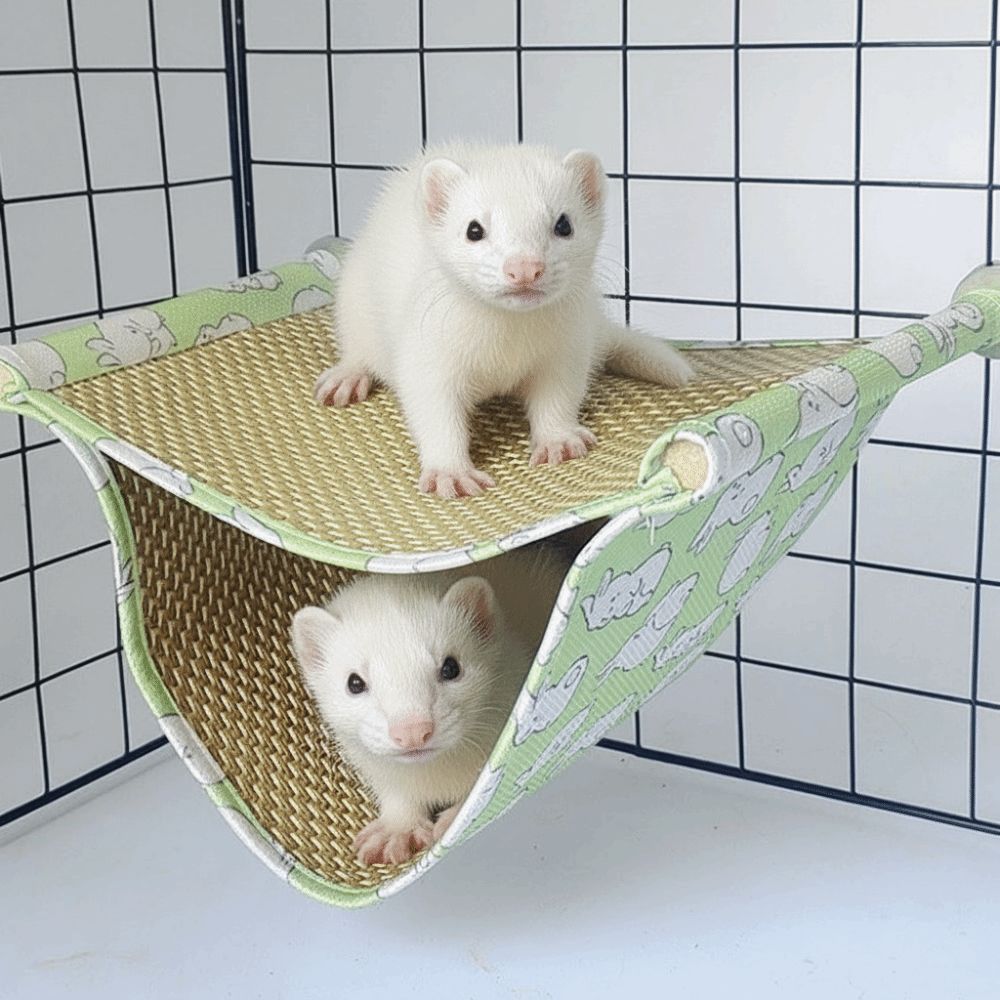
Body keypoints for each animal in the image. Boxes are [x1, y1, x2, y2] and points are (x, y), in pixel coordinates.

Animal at [291, 544, 570, 866]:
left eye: (451, 667)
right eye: (354, 682)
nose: (412, 730)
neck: (436, 777)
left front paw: (454, 818)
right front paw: (396, 832)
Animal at [314, 141, 694, 499]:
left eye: (564, 223)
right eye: (473, 229)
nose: (524, 268)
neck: (504, 348)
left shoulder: (565, 351)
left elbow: (558, 397)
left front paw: (558, 441)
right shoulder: (427, 356)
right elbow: (435, 414)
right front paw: (451, 473)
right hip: (353, 304)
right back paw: (347, 378)